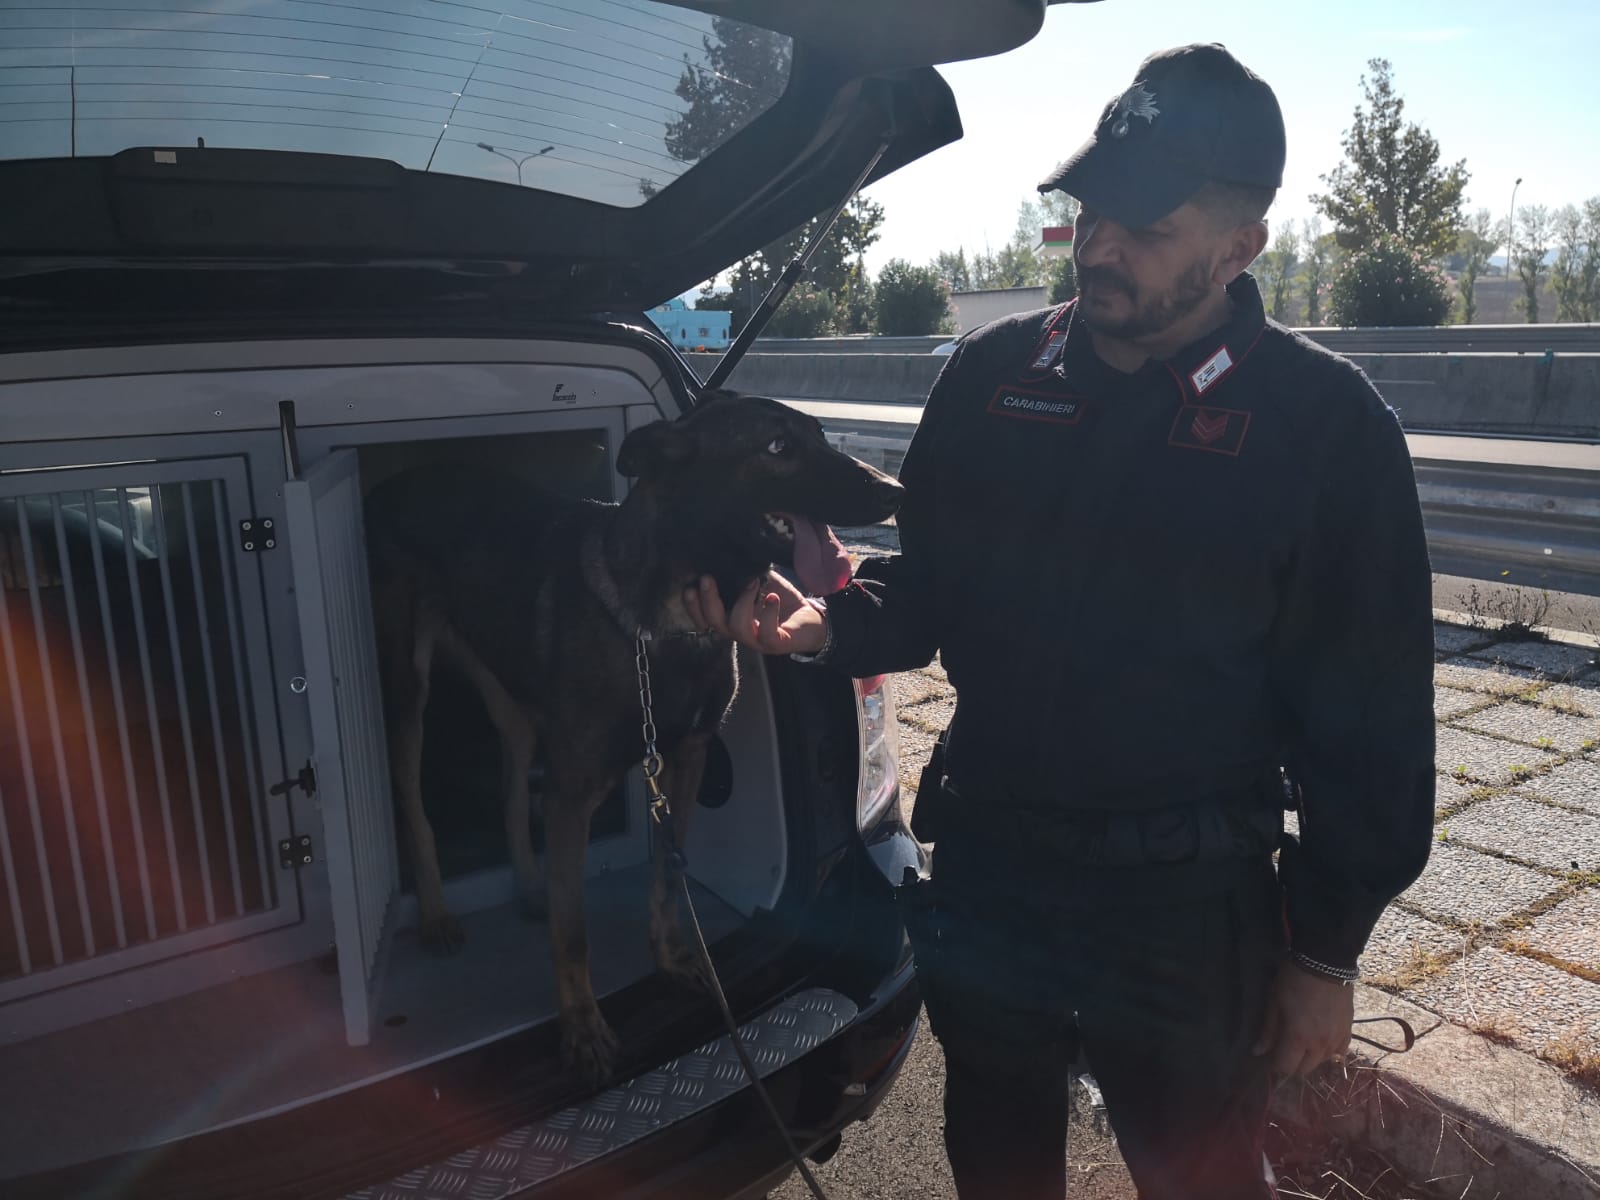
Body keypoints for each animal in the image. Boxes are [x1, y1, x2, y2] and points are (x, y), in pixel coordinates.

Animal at [368, 392, 908, 1081]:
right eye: (777, 447)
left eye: (818, 433)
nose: (895, 490)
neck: (669, 621)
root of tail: (398, 481)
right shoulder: (573, 793)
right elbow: (575, 930)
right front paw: (582, 1027)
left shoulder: (687, 757)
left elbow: (668, 874)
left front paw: (672, 957)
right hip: (408, 683)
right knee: (413, 798)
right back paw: (437, 912)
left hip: (508, 696)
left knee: (512, 777)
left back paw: (529, 885)